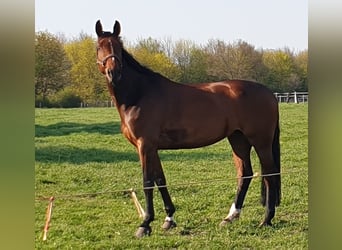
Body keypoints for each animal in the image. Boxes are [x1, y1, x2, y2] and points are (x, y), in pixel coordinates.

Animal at [94, 20, 280, 237]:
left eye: (117, 47)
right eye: (99, 47)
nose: (113, 73)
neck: (139, 94)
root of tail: (269, 93)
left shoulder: (145, 145)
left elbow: (147, 182)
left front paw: (145, 224)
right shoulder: (152, 148)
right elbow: (160, 179)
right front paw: (169, 219)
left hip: (260, 141)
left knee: (269, 174)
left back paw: (266, 220)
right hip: (238, 139)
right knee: (245, 173)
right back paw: (230, 217)